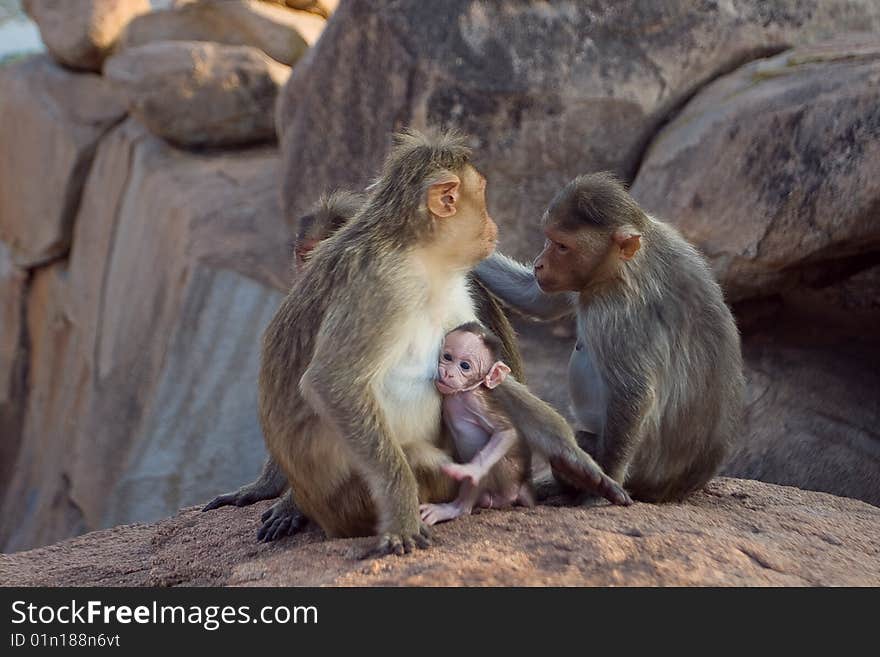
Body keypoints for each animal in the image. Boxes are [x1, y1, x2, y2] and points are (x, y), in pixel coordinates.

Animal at [422, 320, 536, 524]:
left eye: (465, 366)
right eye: (447, 357)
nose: (448, 373)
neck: (460, 394)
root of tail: (522, 484)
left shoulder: (475, 400)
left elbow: (507, 432)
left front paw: (471, 470)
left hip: (505, 478)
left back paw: (455, 508)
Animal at [474, 172, 744, 500]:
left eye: (561, 246)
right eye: (549, 238)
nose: (539, 263)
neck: (623, 264)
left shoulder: (616, 308)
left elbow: (633, 393)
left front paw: (603, 485)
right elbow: (536, 298)